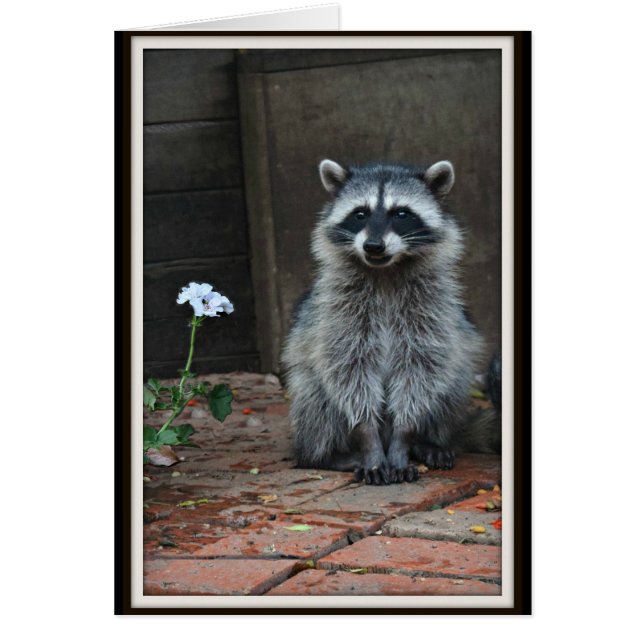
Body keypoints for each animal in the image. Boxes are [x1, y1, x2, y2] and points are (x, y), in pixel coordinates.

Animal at [282, 159, 499, 485]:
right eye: (360, 213)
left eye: (401, 213)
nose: (373, 246)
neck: (384, 271)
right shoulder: (337, 311)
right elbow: (350, 370)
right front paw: (368, 439)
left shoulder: (433, 311)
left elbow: (421, 370)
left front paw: (404, 436)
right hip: (310, 391)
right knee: (316, 398)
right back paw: (322, 455)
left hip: (455, 378)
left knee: (451, 384)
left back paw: (427, 442)